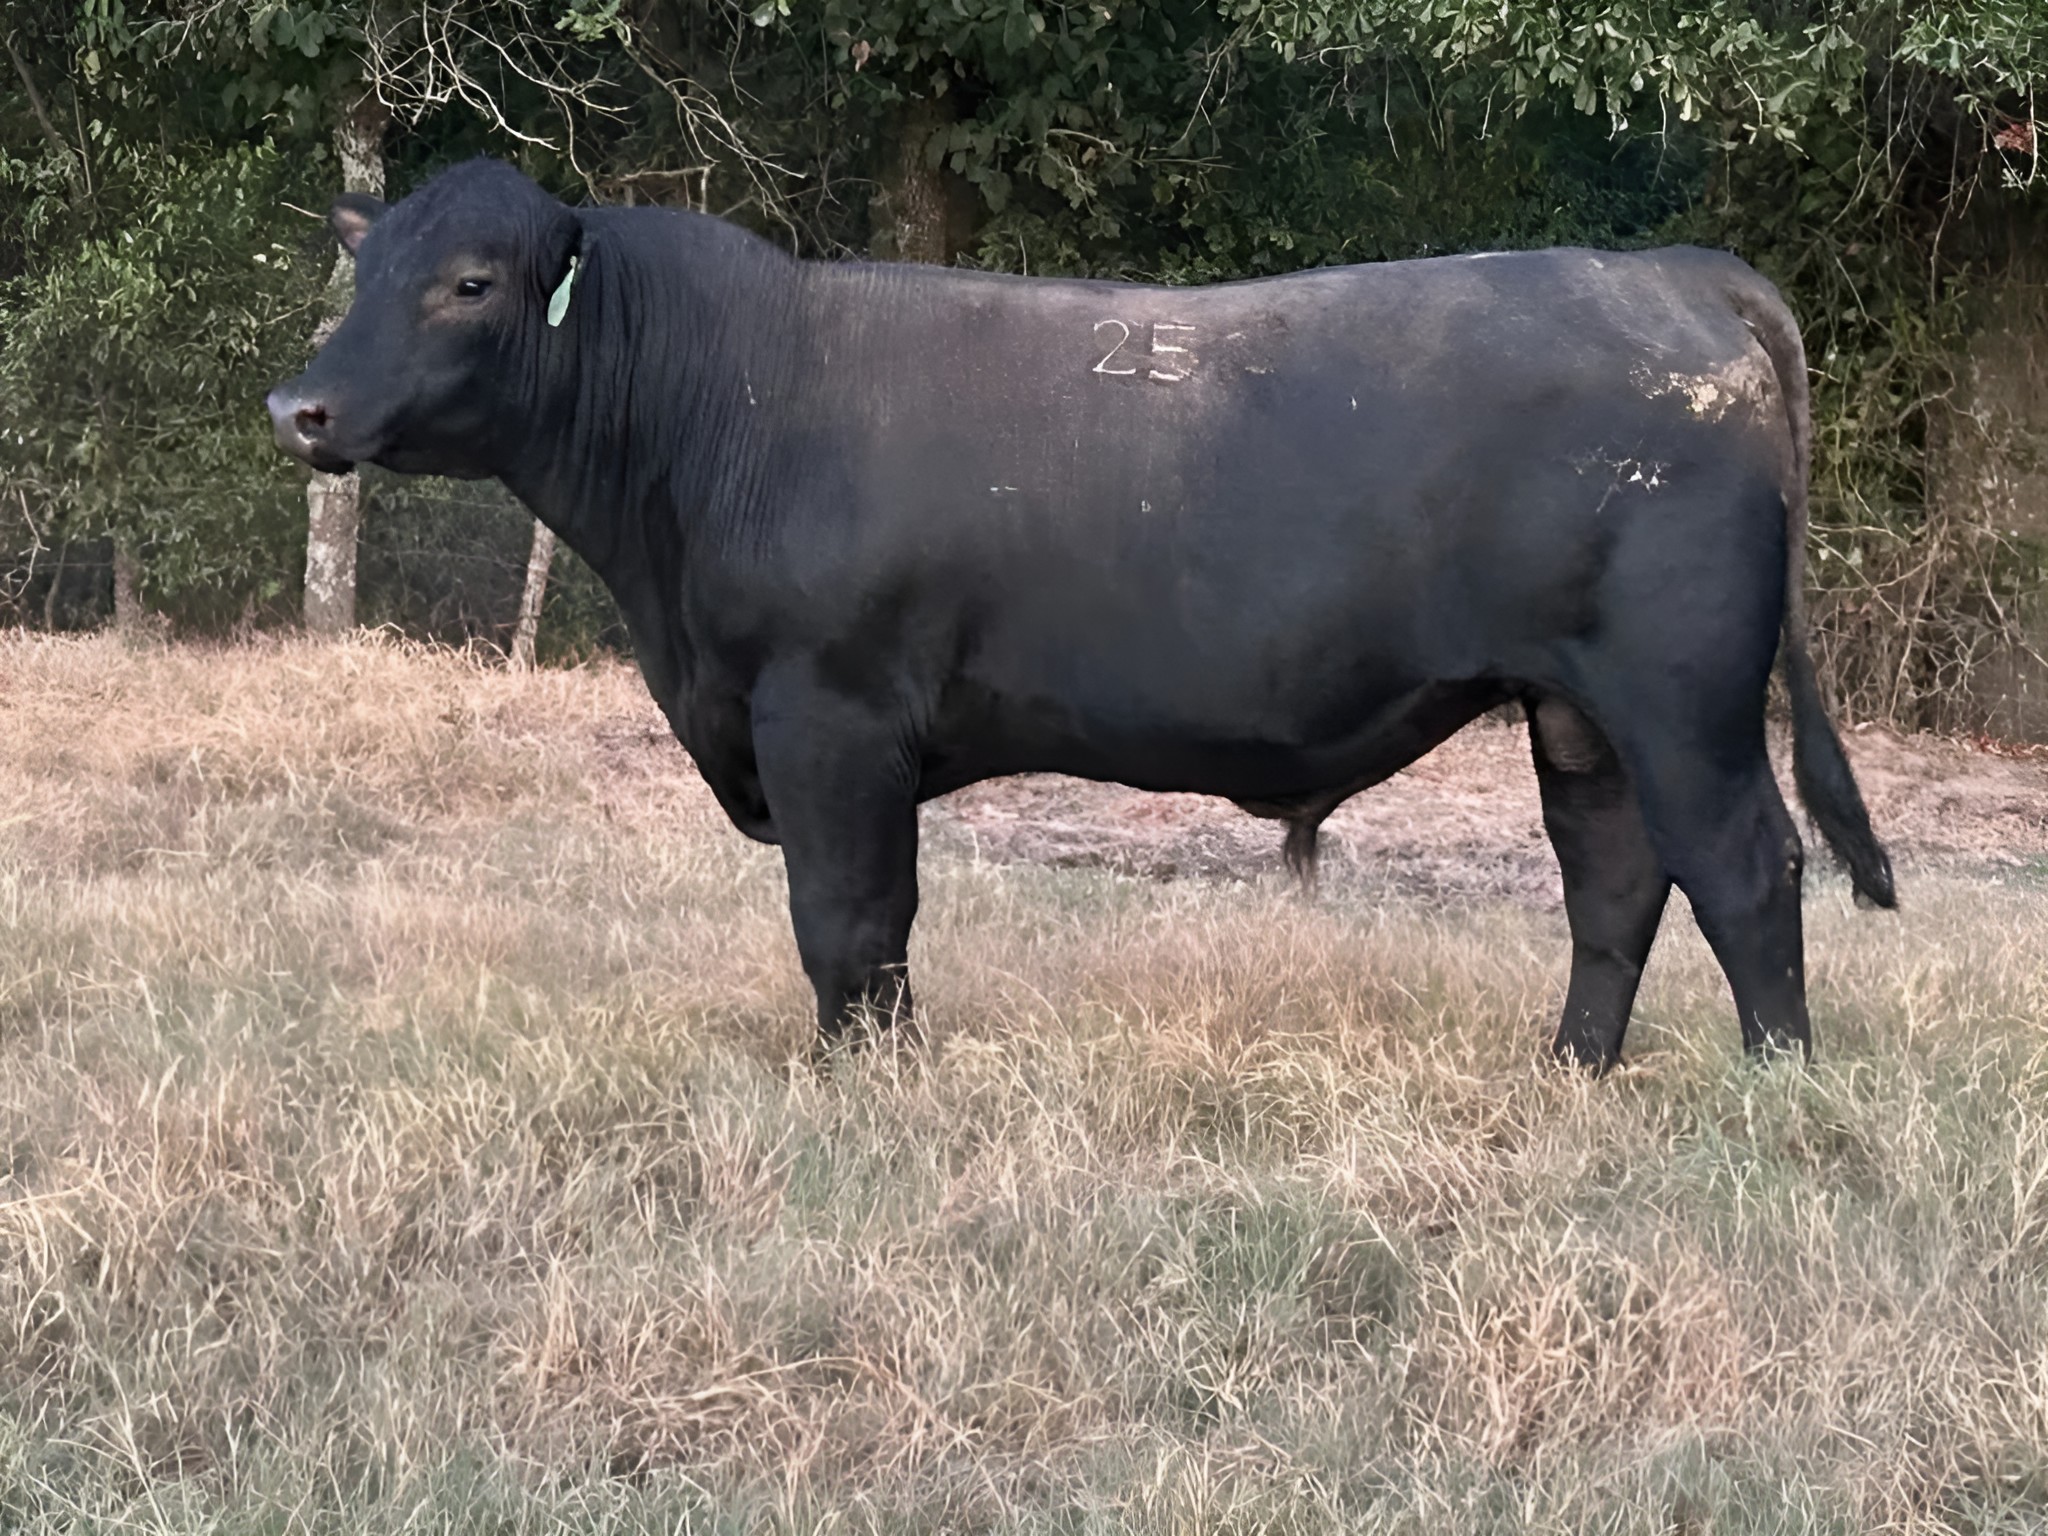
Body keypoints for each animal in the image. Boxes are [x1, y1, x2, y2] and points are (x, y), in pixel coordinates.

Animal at [268, 158, 1895, 1071]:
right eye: (365, 267)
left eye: (471, 282)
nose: (303, 405)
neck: (726, 402)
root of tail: (1669, 273)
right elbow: (869, 932)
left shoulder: (827, 715)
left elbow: (847, 922)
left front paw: (864, 1090)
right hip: (1579, 709)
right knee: (1613, 881)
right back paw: (1572, 1075)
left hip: (1681, 694)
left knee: (1745, 872)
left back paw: (1778, 1092)